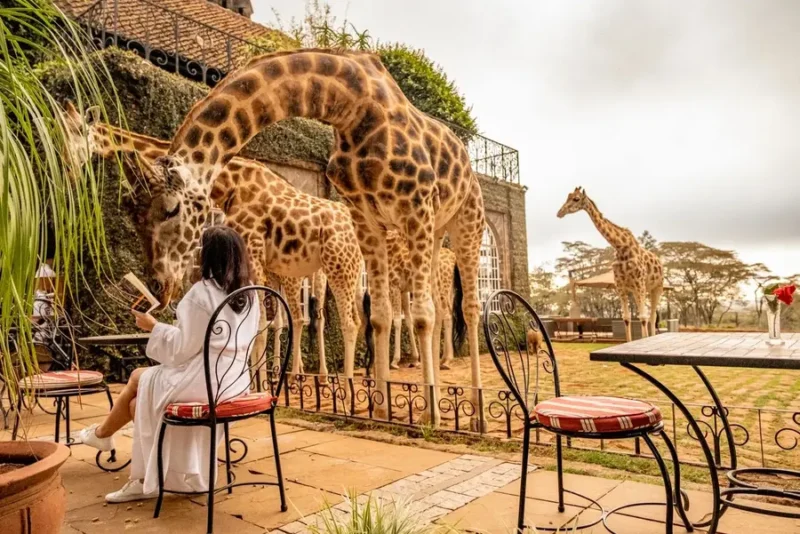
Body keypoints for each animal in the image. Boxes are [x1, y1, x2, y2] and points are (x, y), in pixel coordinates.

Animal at [60, 102, 364, 385]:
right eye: (57, 128)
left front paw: (259, 385)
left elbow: (258, 326)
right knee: (310, 318)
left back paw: (338, 383)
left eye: (77, 131)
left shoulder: (249, 255)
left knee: (343, 320)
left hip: (334, 268)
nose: (67, 171)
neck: (227, 179)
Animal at [148, 49, 487, 429]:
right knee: (432, 307)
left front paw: (430, 414)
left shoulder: (414, 208)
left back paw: (476, 414)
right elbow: (380, 315)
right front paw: (382, 406)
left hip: (465, 221)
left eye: (171, 209)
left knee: (467, 308)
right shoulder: (367, 220)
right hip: (434, 232)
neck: (353, 108)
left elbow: (420, 315)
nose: (159, 285)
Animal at [557, 187, 663, 341]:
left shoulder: (639, 284)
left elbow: (643, 317)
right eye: (568, 196)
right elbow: (626, 318)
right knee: (648, 316)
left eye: (576, 199)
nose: (559, 212)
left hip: (656, 288)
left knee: (652, 317)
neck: (620, 246)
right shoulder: (621, 286)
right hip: (639, 290)